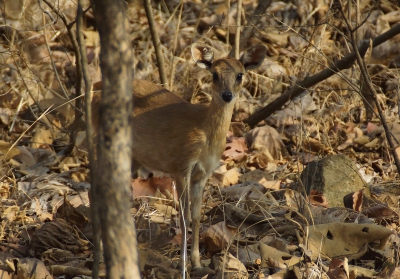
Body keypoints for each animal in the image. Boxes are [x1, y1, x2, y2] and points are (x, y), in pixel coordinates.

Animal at [91, 44, 266, 272]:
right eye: (214, 74)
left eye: (240, 74)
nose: (227, 95)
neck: (204, 134)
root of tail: (94, 88)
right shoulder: (181, 166)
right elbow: (183, 217)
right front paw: (183, 265)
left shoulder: (203, 173)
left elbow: (197, 216)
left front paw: (197, 262)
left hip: (133, 157)